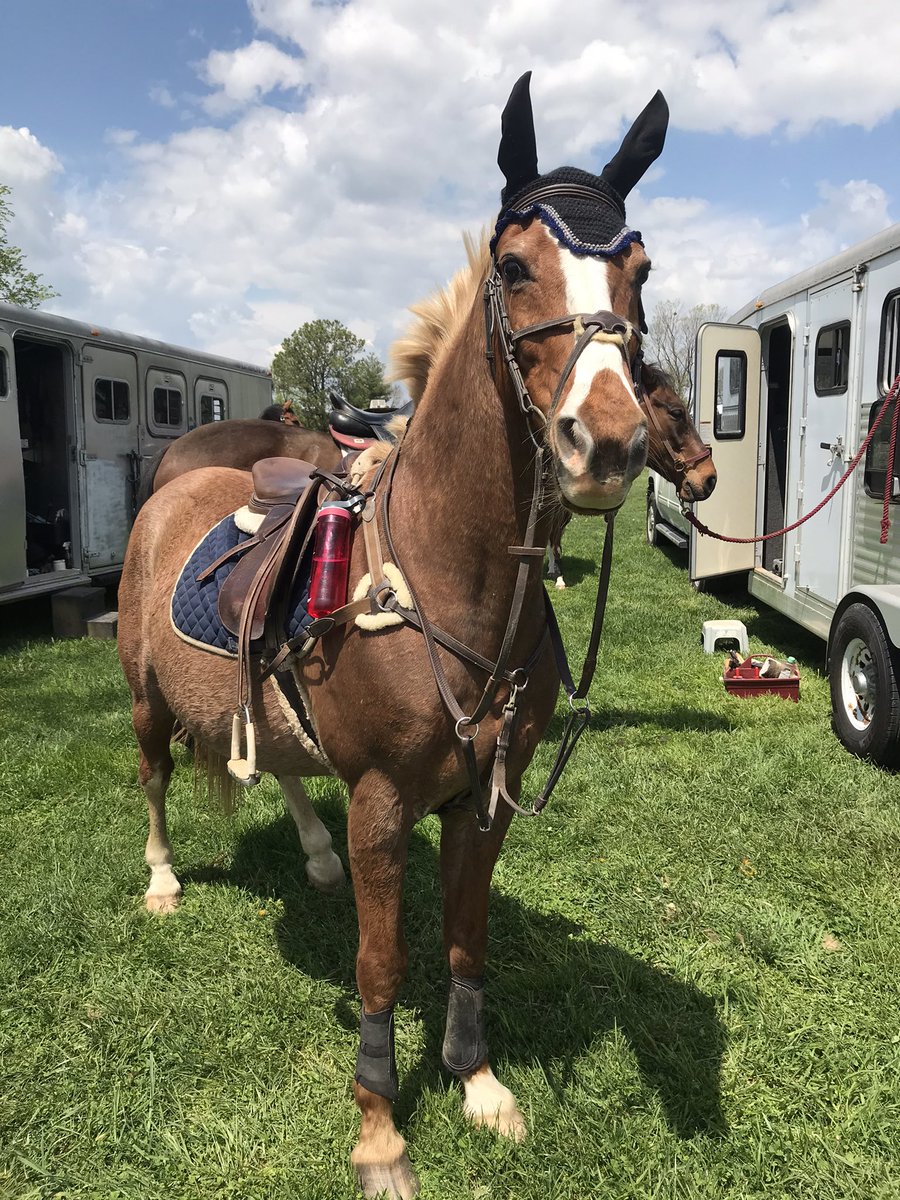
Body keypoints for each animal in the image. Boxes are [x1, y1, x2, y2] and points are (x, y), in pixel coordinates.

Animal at [117, 72, 668, 1198]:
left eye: (640, 272)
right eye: (514, 265)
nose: (609, 441)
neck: (453, 583)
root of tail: (175, 482)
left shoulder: (484, 800)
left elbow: (464, 943)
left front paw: (478, 1081)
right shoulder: (382, 802)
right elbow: (382, 965)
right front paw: (380, 1128)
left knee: (275, 759)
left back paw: (313, 854)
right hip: (147, 698)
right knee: (152, 777)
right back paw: (161, 881)